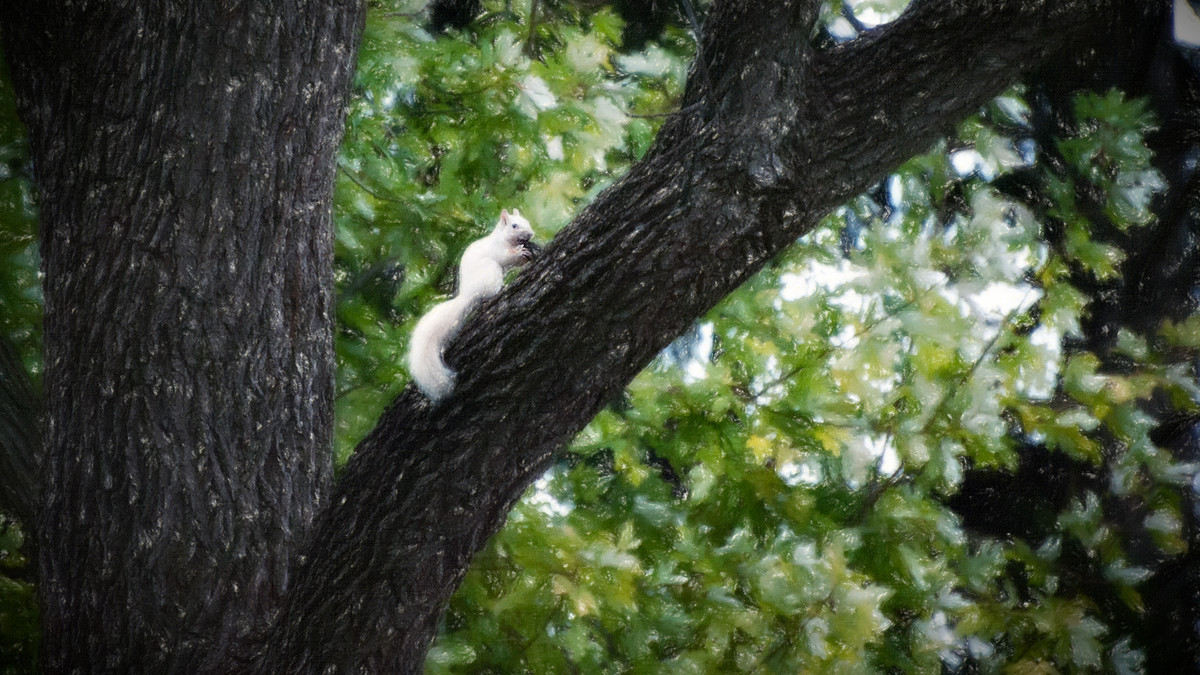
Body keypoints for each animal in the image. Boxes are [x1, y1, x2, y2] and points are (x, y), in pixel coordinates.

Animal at [408, 208, 535, 398]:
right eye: (514, 225)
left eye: (528, 222)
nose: (531, 234)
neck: (503, 238)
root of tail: (468, 294)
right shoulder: (498, 250)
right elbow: (506, 257)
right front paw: (520, 251)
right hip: (491, 272)